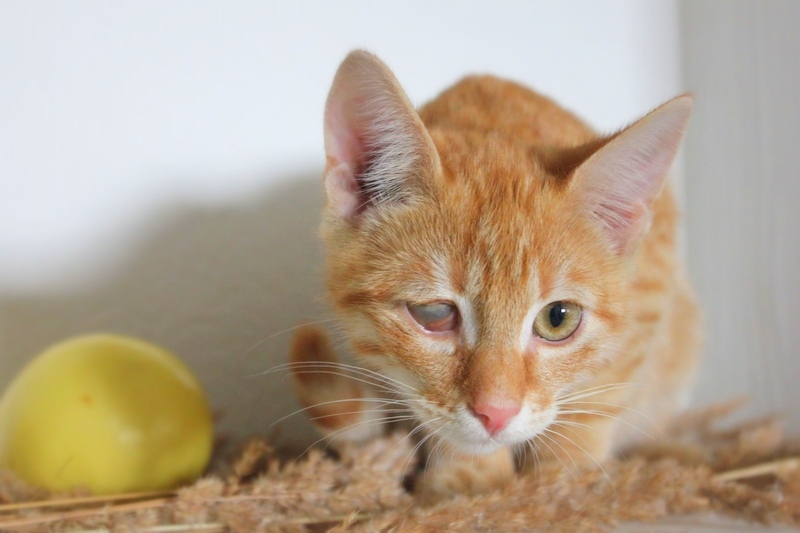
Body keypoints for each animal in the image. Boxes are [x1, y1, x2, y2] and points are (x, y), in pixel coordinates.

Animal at [288, 50, 701, 499]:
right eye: (433, 313)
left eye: (558, 318)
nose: (496, 413)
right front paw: (467, 483)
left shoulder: (649, 300)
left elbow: (594, 403)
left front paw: (560, 482)